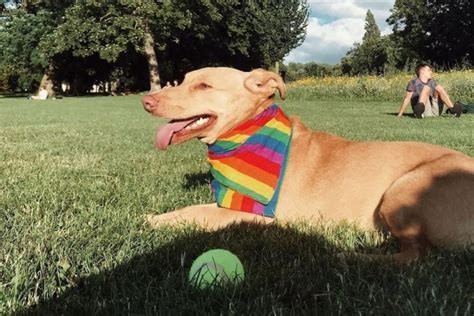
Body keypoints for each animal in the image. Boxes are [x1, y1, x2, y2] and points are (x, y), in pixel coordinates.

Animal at [142, 68, 474, 262]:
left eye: (204, 86)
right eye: (182, 81)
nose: (146, 100)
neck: (246, 133)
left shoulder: (253, 214)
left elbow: (195, 214)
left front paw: (150, 220)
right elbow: (193, 208)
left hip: (403, 190)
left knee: (416, 256)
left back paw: (351, 257)